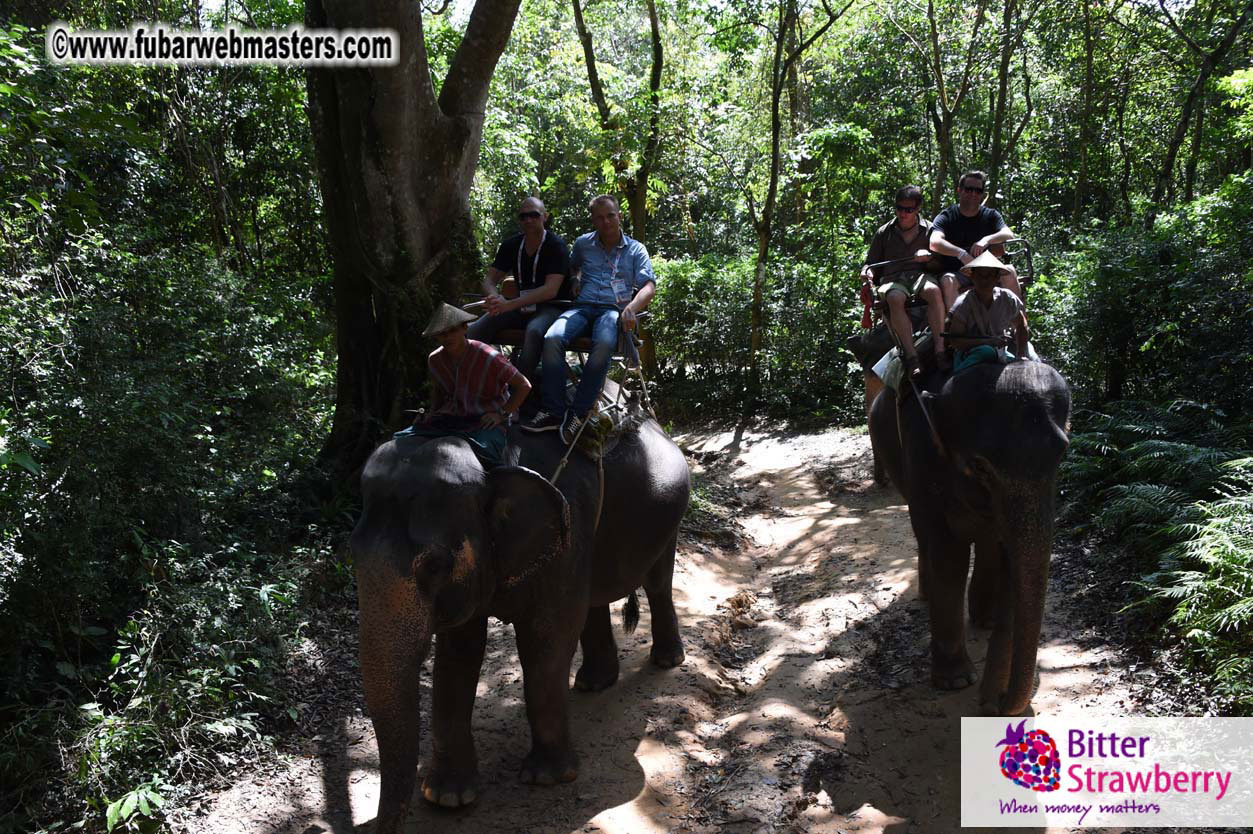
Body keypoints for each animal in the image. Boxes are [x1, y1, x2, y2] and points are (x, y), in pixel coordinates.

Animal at [350, 412, 690, 834]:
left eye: (435, 565)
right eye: (351, 554)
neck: (492, 460)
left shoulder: (569, 526)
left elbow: (547, 638)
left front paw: (547, 778)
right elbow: (458, 653)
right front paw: (447, 798)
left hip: (669, 516)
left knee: (657, 582)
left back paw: (667, 661)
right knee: (593, 599)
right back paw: (594, 683)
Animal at [868, 359, 1070, 715]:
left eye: (1062, 454)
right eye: (980, 467)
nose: (996, 702)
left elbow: (1003, 554)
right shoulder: (921, 456)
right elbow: (949, 555)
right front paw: (956, 681)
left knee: (987, 545)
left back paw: (984, 618)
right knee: (926, 537)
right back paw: (929, 596)